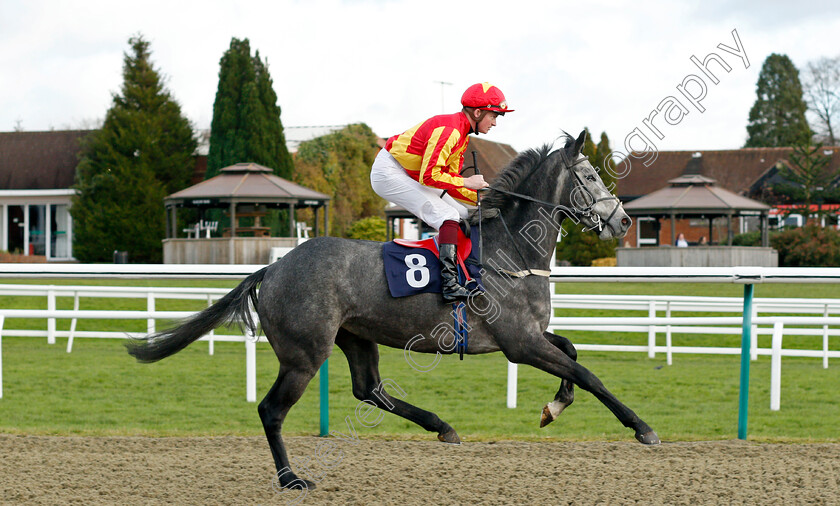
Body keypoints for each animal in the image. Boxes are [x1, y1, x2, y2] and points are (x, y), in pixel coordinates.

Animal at [128, 129, 660, 490]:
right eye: (588, 175)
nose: (623, 220)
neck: (513, 250)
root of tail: (273, 267)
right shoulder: (518, 343)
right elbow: (588, 373)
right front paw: (643, 428)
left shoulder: (528, 336)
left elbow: (571, 352)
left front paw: (554, 406)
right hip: (304, 354)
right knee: (271, 410)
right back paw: (291, 478)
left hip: (356, 337)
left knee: (370, 390)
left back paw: (442, 427)